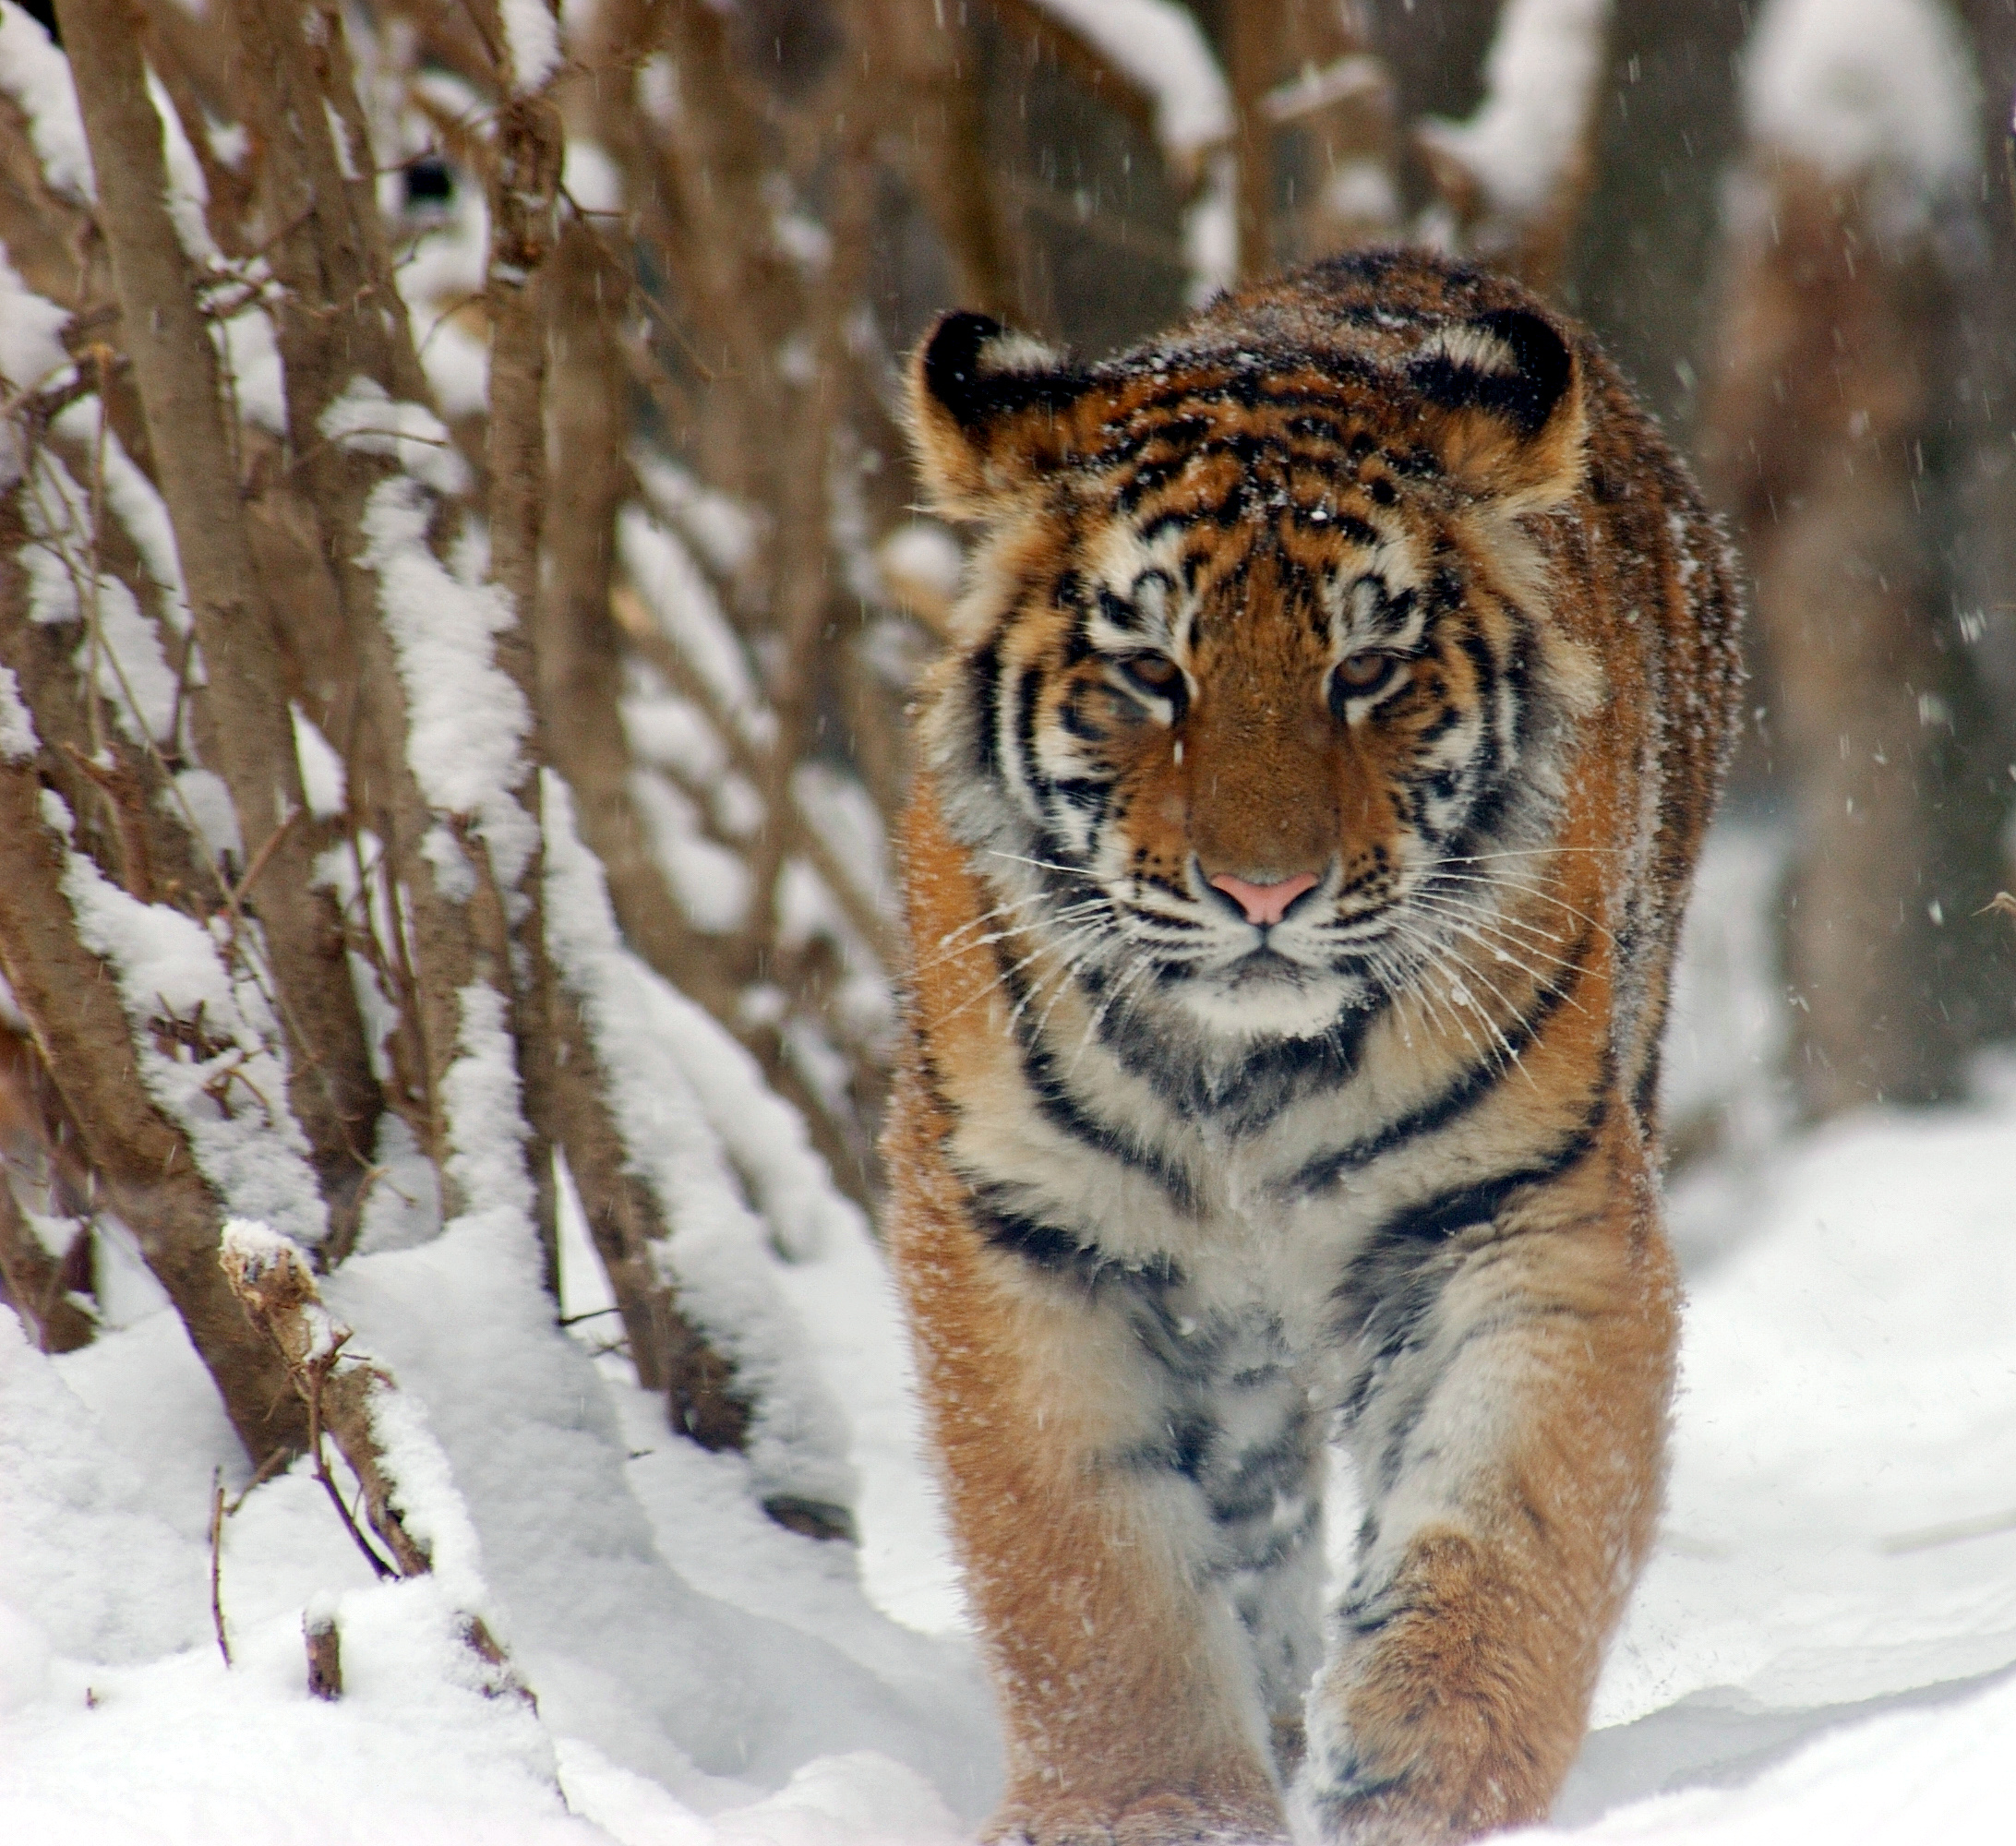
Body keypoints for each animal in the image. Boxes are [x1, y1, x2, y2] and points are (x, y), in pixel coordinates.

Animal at [891, 248, 1741, 1846]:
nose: (1265, 893)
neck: (1244, 1074)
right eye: (1151, 671)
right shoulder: (1026, 1227)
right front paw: (1152, 1806)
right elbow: (1088, 1572)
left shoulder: (1522, 1214)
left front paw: (1420, 1776)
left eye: (1369, 669)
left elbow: (1508, 1523)